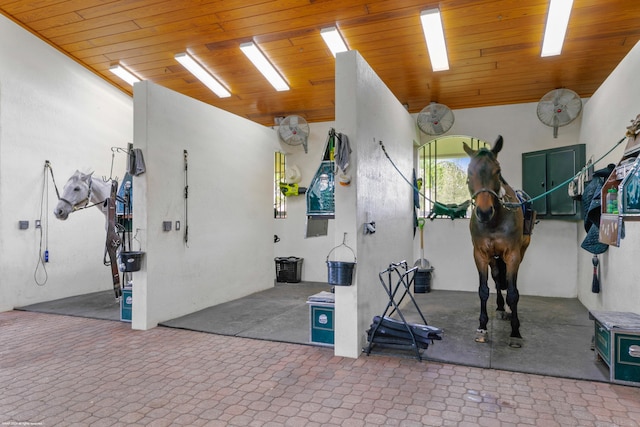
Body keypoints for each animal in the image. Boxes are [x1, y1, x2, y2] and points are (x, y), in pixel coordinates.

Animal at [462, 136, 532, 348]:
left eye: (498, 171)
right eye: (469, 172)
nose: (484, 212)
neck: (494, 221)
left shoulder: (513, 255)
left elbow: (513, 292)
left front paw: (515, 332)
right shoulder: (480, 254)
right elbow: (484, 290)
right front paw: (482, 327)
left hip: (521, 251)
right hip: (493, 257)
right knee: (496, 276)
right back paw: (501, 308)